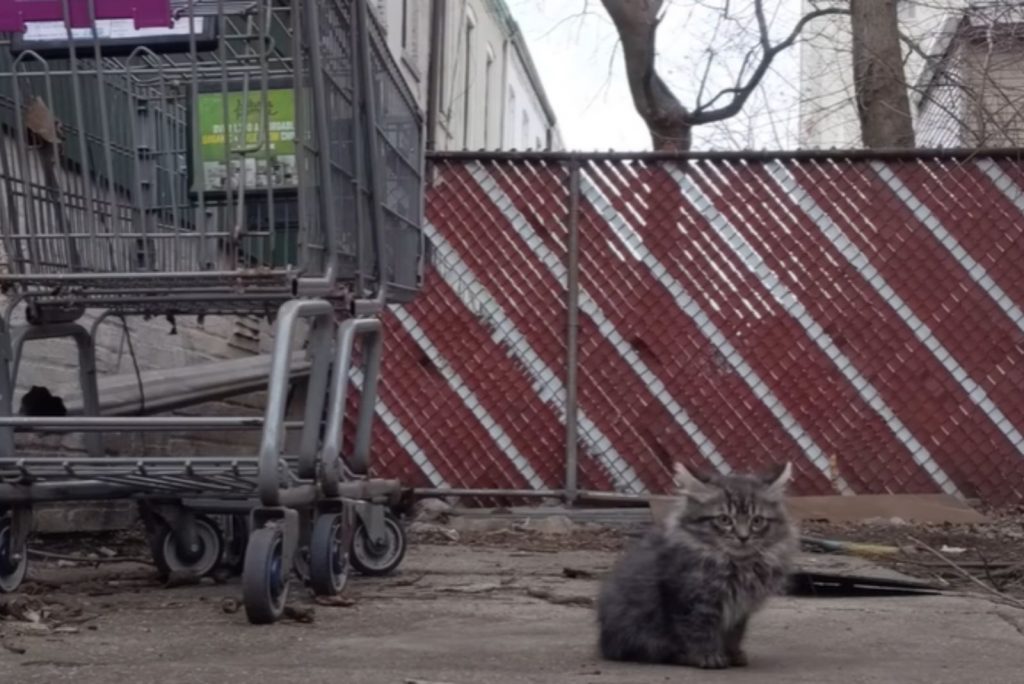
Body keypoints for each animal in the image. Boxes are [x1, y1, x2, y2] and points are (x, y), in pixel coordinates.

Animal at [593, 462, 798, 671]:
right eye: (724, 520)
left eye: (757, 521)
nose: (743, 537)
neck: (735, 564)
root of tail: (604, 642)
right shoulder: (690, 599)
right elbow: (698, 631)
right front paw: (708, 656)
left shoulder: (739, 610)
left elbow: (734, 635)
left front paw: (732, 654)